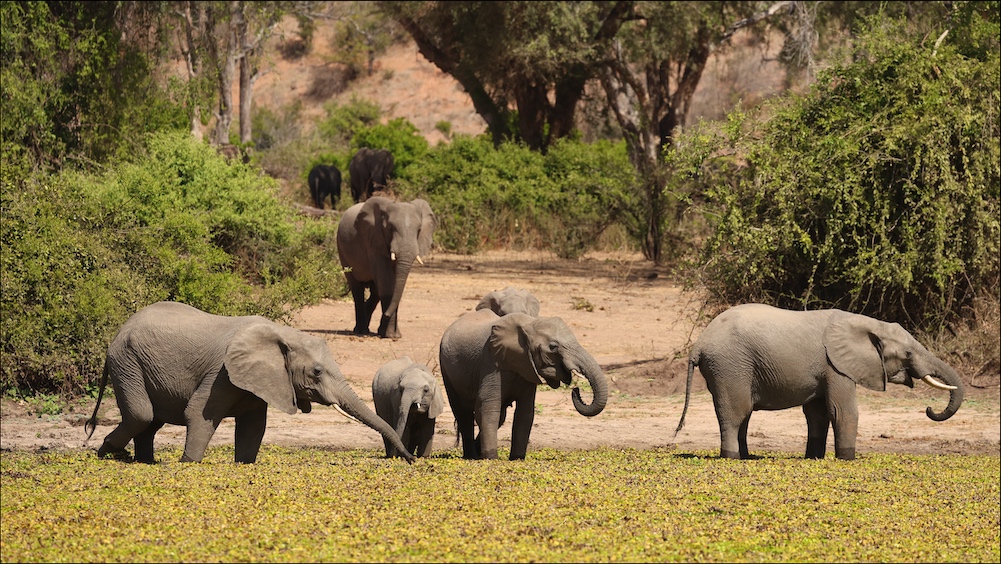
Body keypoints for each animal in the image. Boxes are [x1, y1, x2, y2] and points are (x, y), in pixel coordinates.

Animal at [83, 301, 415, 464]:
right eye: (318, 372)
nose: (410, 460)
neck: (283, 334)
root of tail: (119, 330)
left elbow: (254, 428)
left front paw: (243, 465)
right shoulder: (221, 373)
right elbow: (199, 415)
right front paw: (188, 465)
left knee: (151, 421)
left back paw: (142, 462)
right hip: (127, 363)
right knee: (142, 415)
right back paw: (108, 455)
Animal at [336, 196, 436, 340]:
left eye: (418, 231)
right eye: (390, 228)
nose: (387, 314)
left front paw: (393, 335)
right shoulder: (374, 240)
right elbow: (386, 282)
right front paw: (390, 335)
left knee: (375, 291)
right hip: (342, 250)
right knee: (357, 288)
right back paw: (361, 330)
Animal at [439, 309, 608, 460]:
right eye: (553, 347)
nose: (575, 389)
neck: (530, 324)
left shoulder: (526, 367)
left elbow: (525, 413)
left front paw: (517, 459)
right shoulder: (492, 365)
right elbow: (488, 407)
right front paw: (491, 458)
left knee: (500, 416)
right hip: (446, 369)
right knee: (463, 414)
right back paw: (471, 456)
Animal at [674, 303, 965, 460]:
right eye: (907, 354)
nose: (928, 408)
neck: (865, 323)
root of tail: (698, 344)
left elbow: (818, 413)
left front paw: (814, 457)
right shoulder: (836, 366)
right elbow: (843, 411)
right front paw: (847, 459)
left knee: (743, 416)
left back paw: (745, 456)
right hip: (729, 367)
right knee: (734, 414)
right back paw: (732, 457)